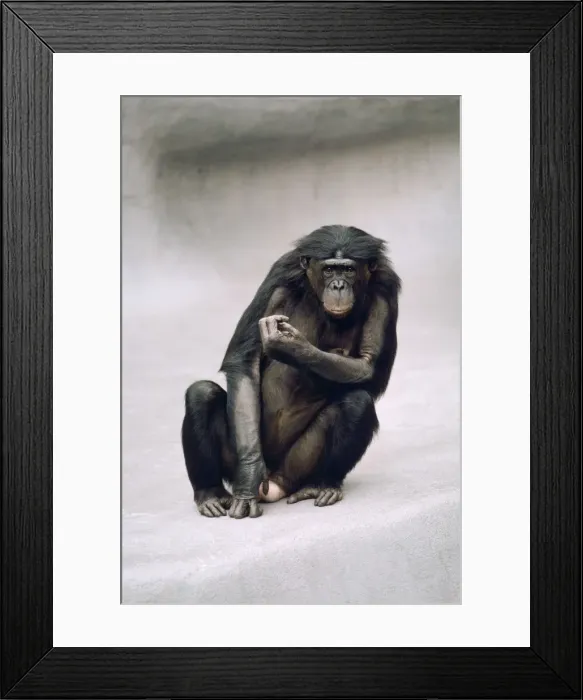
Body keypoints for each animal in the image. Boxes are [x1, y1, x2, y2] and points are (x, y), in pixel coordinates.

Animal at [181, 225, 401, 518]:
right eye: (329, 270)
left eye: (348, 270)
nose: (338, 285)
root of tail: (272, 485)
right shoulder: (279, 275)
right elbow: (244, 360)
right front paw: (248, 481)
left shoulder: (384, 292)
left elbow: (367, 365)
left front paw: (293, 348)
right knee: (201, 394)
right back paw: (211, 494)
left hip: (295, 468)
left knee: (358, 402)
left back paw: (321, 485)